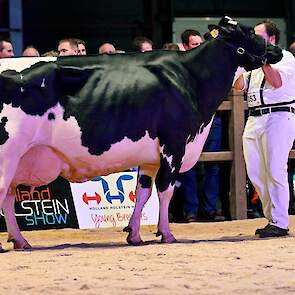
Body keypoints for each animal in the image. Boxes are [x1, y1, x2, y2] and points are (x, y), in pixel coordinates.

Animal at [0, 17, 284, 251]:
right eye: (249, 32)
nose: (278, 50)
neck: (191, 77)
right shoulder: (174, 145)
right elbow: (166, 190)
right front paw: (167, 234)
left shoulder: (150, 157)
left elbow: (143, 192)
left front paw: (134, 235)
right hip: (8, 153)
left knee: (8, 198)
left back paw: (20, 240)